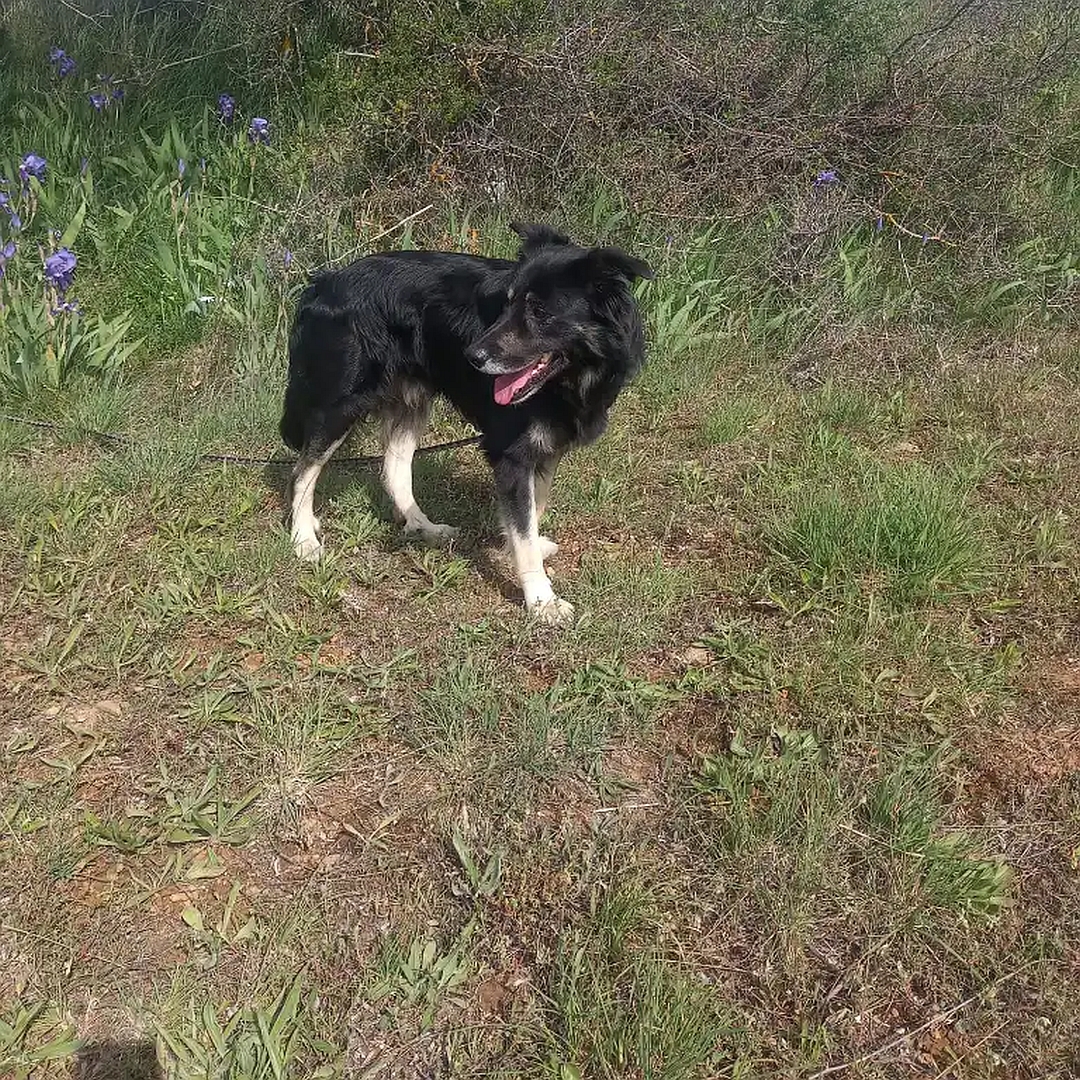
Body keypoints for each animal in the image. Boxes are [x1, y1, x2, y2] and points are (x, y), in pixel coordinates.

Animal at [278, 221, 648, 626]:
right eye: (507, 303)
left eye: (539, 312)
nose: (473, 356)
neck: (571, 378)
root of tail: (324, 281)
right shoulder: (511, 453)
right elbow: (523, 525)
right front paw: (540, 599)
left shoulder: (546, 449)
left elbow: (533, 511)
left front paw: (520, 553)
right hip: (339, 406)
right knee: (302, 472)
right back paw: (303, 538)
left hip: (410, 402)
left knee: (394, 467)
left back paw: (422, 526)